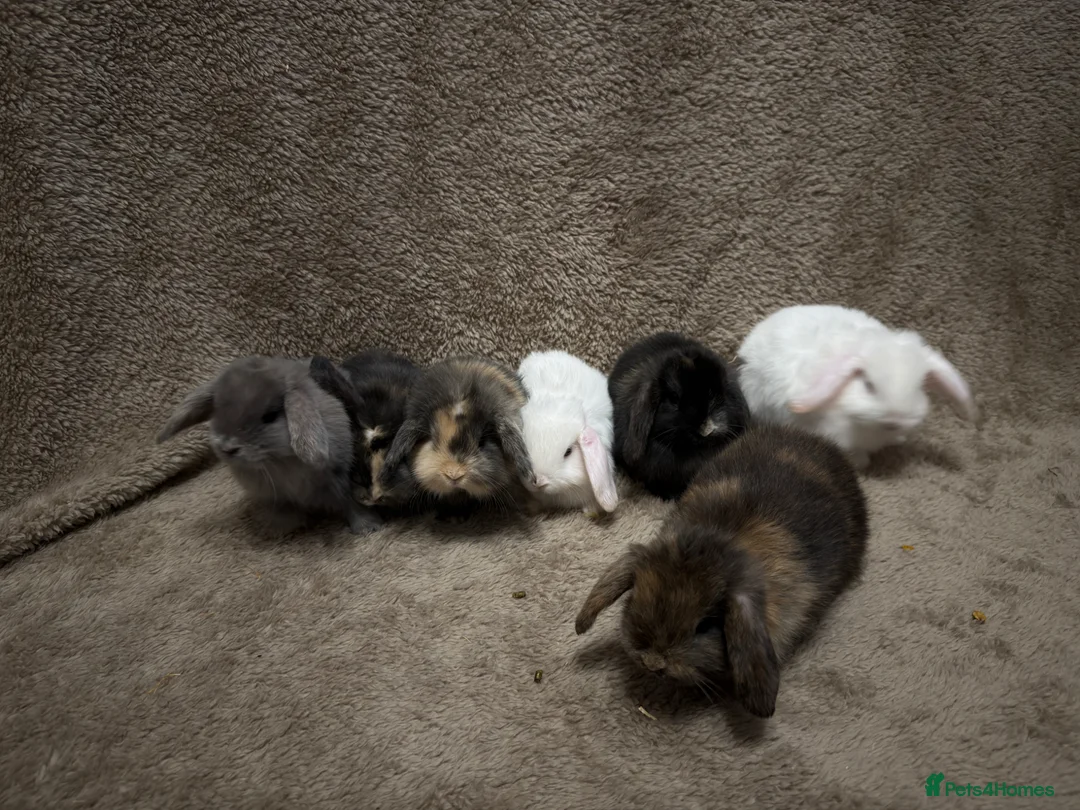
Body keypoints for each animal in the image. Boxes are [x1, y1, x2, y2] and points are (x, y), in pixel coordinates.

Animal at [156, 355, 382, 534]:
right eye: (217, 411)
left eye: (270, 416)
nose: (227, 447)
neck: (278, 461)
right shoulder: (274, 496)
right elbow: (283, 509)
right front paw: (286, 527)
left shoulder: (339, 479)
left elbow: (348, 503)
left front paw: (366, 527)